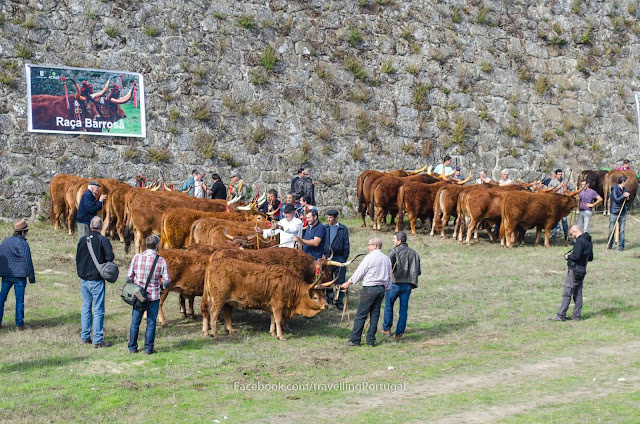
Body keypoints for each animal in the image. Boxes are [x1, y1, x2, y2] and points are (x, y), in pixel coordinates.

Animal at [201, 256, 330, 340]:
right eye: (315, 297)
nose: (326, 305)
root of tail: (213, 263)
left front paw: (272, 332)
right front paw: (280, 335)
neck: (288, 284)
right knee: (213, 313)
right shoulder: (278, 304)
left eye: (322, 295)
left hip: (211, 298)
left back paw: (207, 331)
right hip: (219, 299)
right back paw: (214, 334)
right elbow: (278, 319)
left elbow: (272, 318)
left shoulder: (272, 304)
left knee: (207, 310)